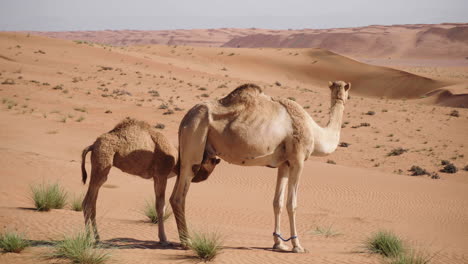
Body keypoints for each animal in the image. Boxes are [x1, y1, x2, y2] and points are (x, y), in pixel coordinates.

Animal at [80, 117, 219, 243]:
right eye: (213, 162)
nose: (196, 177)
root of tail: (92, 145)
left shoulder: (156, 177)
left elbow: (160, 206)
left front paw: (162, 237)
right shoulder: (161, 174)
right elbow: (161, 206)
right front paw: (163, 239)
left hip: (99, 166)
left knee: (93, 203)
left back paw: (97, 238)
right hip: (102, 162)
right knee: (87, 202)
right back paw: (88, 238)